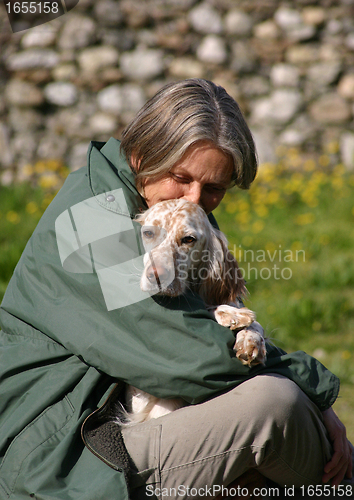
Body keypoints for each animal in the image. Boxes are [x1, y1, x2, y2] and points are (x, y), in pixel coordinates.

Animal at [121, 199, 266, 426]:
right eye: (148, 233)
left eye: (188, 239)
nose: (157, 276)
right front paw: (230, 314)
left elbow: (256, 325)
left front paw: (249, 339)